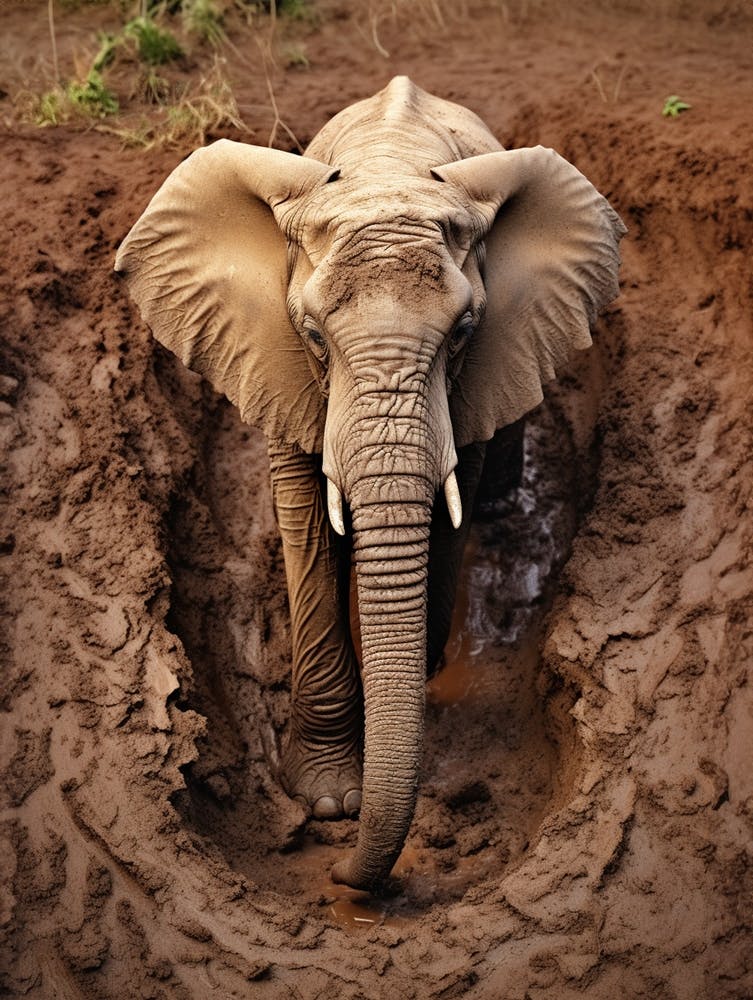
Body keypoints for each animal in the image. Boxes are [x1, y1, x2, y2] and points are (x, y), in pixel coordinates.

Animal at [115, 76, 625, 891]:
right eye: (314, 337)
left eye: (462, 333)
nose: (344, 876)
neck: (388, 171)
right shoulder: (273, 355)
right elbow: (302, 517)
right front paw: (327, 800)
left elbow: (447, 510)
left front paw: (418, 681)